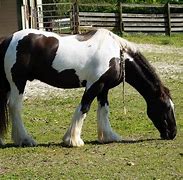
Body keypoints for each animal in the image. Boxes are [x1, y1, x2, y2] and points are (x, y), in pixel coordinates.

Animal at [0, 28, 177, 146]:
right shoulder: (94, 85)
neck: (117, 54)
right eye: (166, 107)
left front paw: (109, 136)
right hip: (18, 82)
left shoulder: (104, 88)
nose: (173, 133)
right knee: (15, 106)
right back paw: (25, 139)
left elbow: (104, 110)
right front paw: (73, 140)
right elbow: (84, 107)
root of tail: (8, 40)